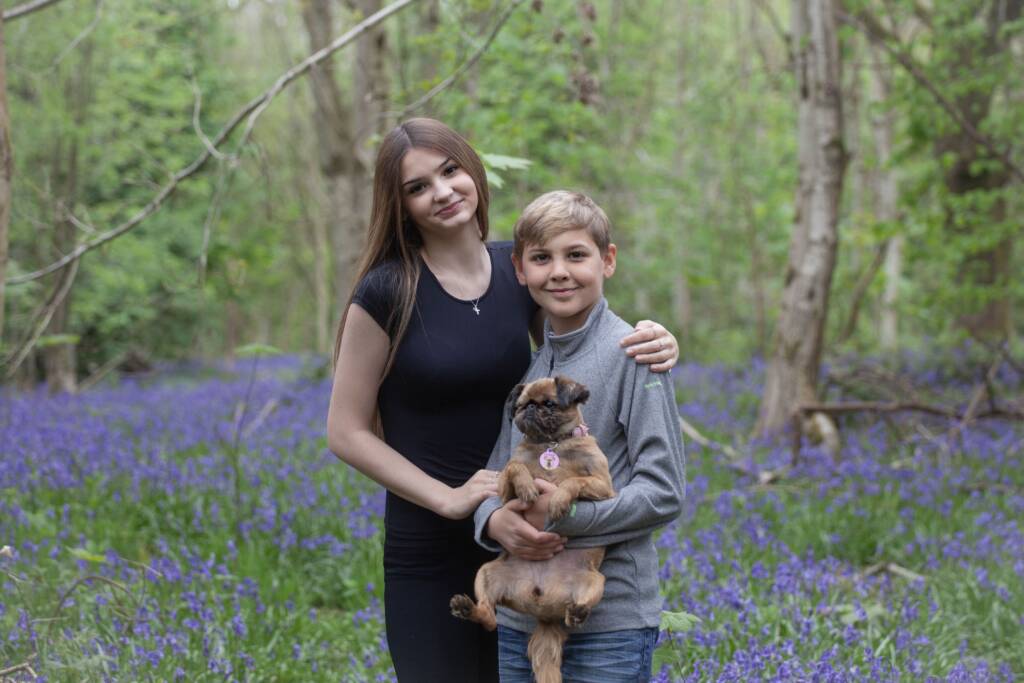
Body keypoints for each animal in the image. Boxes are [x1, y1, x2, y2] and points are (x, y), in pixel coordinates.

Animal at [450, 376, 615, 683]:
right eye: (522, 403)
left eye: (549, 404)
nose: (529, 409)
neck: (550, 443)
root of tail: (545, 615)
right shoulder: (505, 493)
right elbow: (515, 467)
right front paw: (528, 486)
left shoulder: (604, 487)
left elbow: (573, 481)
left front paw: (558, 500)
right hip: (486, 574)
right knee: (488, 617)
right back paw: (467, 608)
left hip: (596, 582)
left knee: (579, 606)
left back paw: (579, 612)